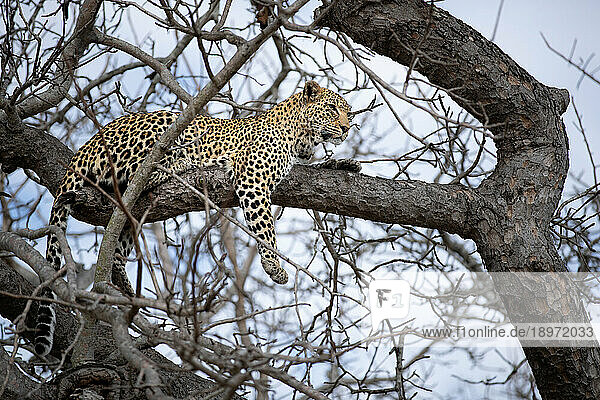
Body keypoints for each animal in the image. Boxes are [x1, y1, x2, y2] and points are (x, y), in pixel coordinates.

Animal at [31, 79, 356, 354]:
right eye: (331, 109)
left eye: (348, 113)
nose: (346, 129)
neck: (302, 138)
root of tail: (85, 146)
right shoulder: (253, 179)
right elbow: (265, 229)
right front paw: (274, 267)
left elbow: (316, 167)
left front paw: (345, 164)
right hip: (164, 128)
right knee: (142, 172)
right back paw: (184, 162)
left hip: (128, 210)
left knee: (117, 244)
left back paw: (127, 289)